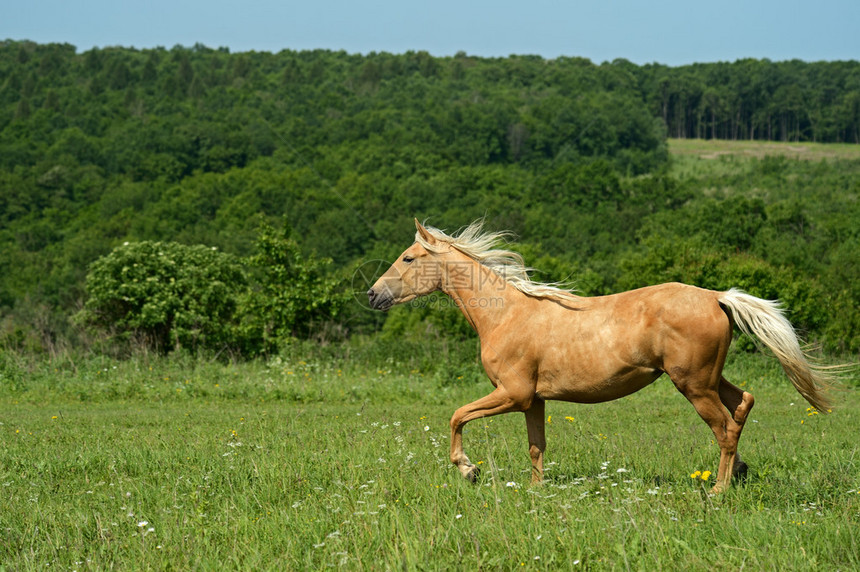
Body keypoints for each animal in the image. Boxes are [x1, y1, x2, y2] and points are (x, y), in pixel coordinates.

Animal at [368, 219, 832, 492]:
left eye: (408, 257)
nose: (373, 295)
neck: (506, 314)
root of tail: (718, 297)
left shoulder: (512, 394)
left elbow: (456, 416)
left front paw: (468, 470)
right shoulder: (533, 400)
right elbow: (536, 446)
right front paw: (536, 492)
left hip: (694, 385)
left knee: (725, 428)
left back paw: (718, 491)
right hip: (709, 378)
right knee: (743, 404)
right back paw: (739, 473)